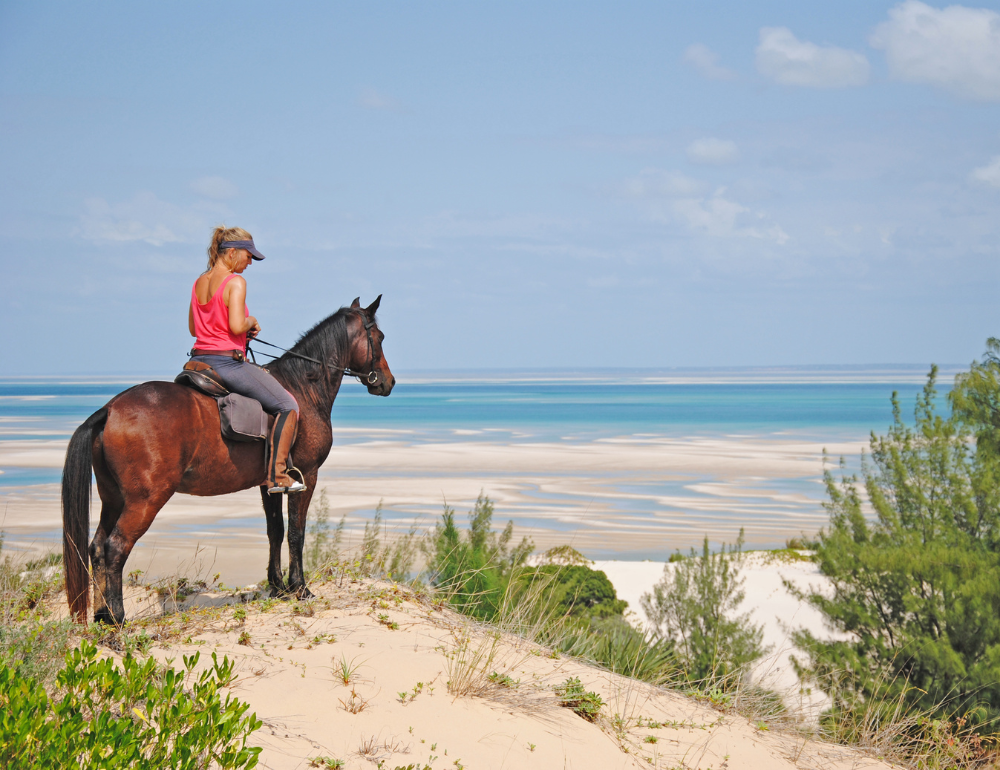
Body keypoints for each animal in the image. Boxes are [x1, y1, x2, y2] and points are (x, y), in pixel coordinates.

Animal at [59, 294, 398, 624]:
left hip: (113, 498)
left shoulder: (269, 484)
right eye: (380, 337)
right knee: (115, 548)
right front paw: (300, 588)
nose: (388, 382)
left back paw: (102, 615)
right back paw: (117, 618)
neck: (304, 387)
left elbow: (275, 531)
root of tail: (111, 409)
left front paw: (277, 587)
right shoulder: (307, 475)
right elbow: (296, 533)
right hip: (145, 500)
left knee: (97, 547)